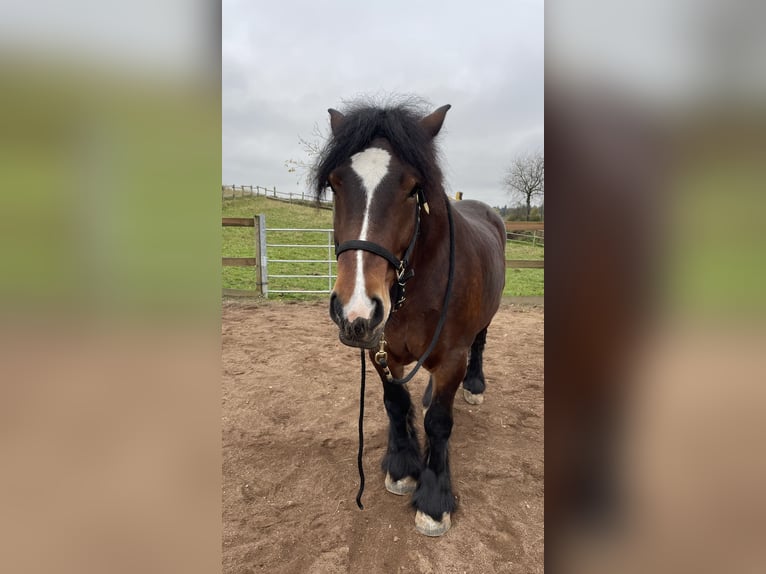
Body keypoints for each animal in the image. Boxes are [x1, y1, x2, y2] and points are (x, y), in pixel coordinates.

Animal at [314, 101, 510, 536]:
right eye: (335, 184)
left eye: (412, 189)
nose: (355, 307)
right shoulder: (382, 350)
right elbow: (395, 402)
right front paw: (403, 465)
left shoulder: (451, 357)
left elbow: (439, 422)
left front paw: (434, 500)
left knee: (479, 344)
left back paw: (475, 385)